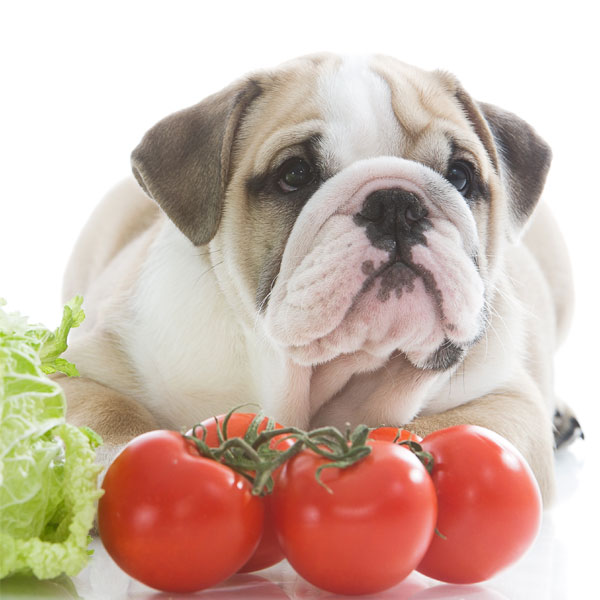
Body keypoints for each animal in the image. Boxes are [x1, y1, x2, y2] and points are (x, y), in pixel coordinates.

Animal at [57, 54, 580, 504]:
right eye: (295, 173)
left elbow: (434, 430)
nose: (396, 204)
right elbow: (110, 419)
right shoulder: (81, 367)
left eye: (460, 174)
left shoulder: (507, 402)